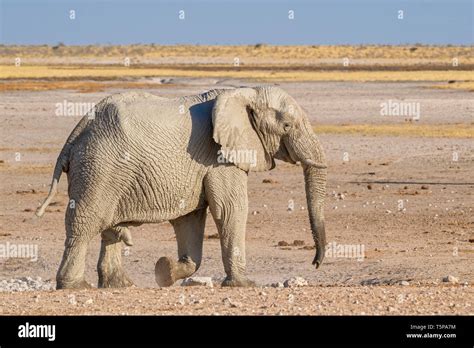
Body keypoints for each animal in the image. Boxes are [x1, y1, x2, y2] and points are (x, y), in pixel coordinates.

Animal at [36, 86, 326, 288]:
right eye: (286, 126)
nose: (315, 263)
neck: (246, 92)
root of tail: (75, 133)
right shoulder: (218, 156)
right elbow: (230, 209)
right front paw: (244, 285)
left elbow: (190, 217)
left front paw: (165, 271)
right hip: (99, 166)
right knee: (85, 223)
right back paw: (76, 286)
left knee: (108, 228)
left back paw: (120, 285)